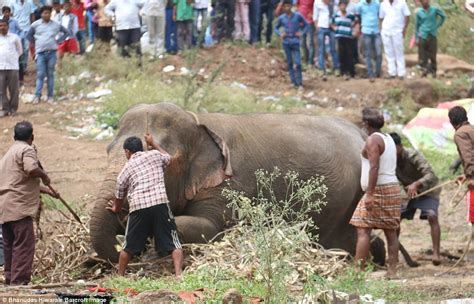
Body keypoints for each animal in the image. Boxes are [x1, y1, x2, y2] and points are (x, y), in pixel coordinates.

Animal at [89, 102, 386, 264]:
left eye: (156, 158)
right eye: (106, 150)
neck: (197, 121)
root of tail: (360, 133)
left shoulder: (228, 187)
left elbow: (209, 228)